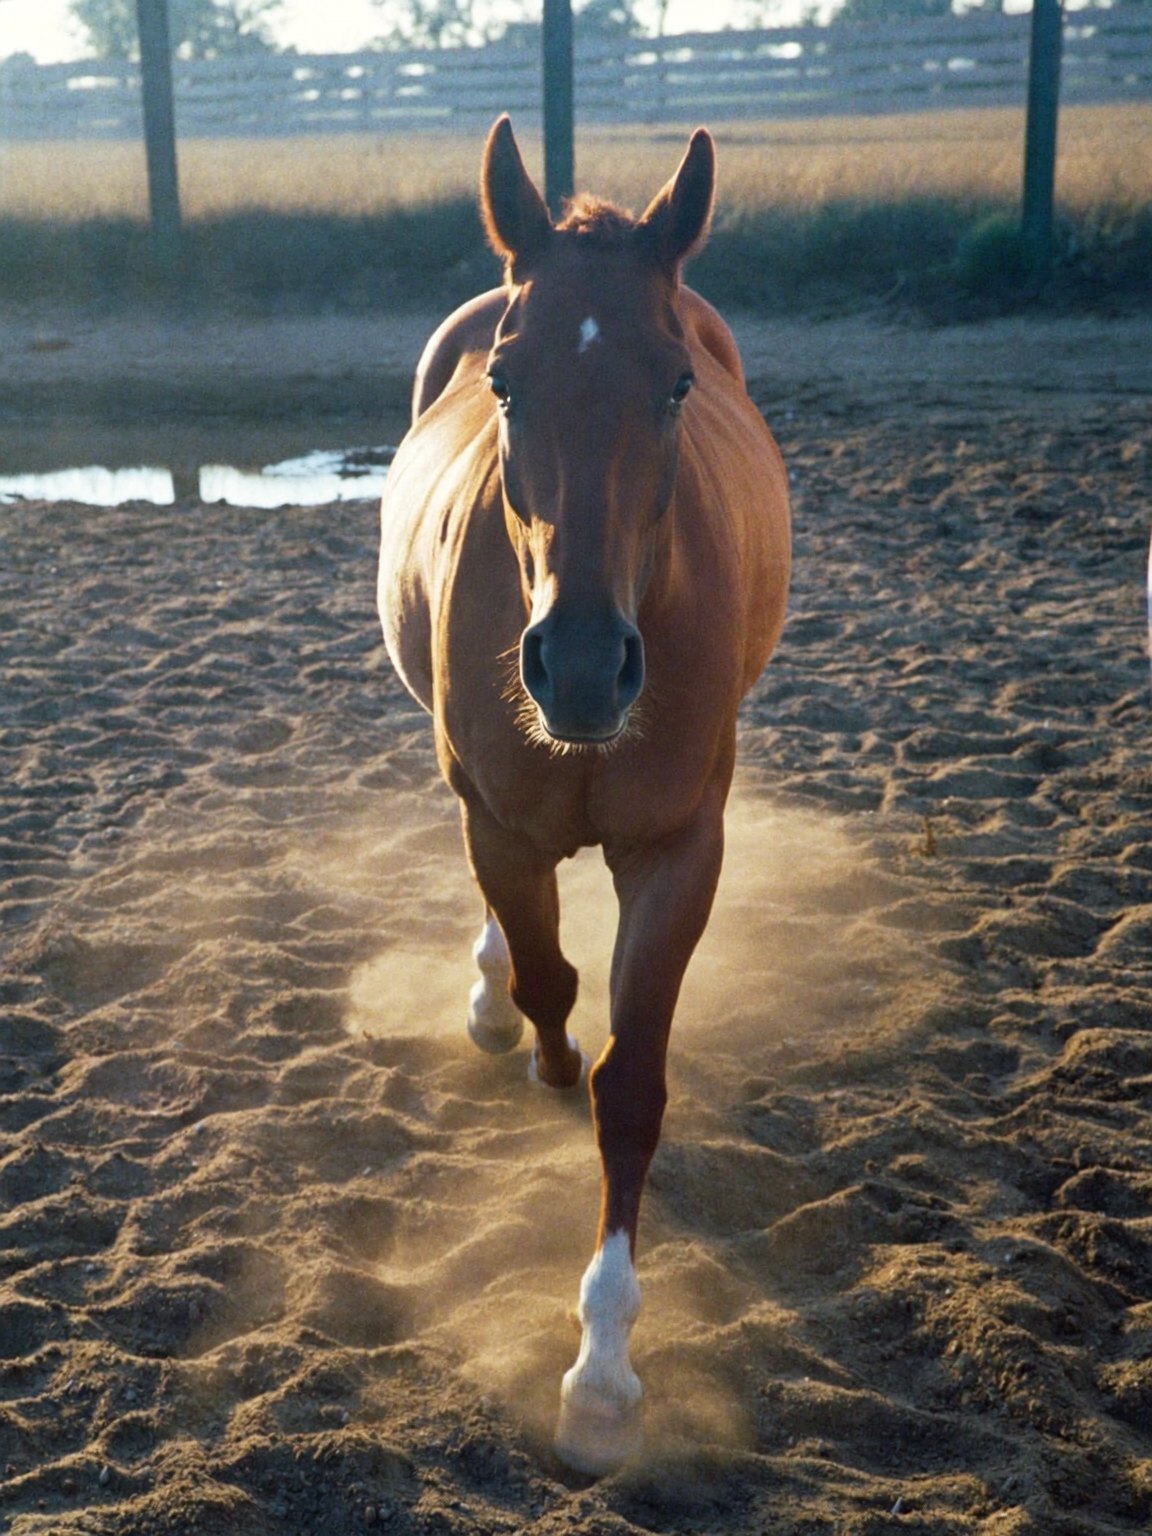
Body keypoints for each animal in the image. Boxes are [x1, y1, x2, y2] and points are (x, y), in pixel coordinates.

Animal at [377, 116, 791, 1475]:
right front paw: (533, 1040)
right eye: (507, 383)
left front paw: (604, 1375)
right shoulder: (499, 825)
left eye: (675, 386)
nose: (580, 666)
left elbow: (633, 1084)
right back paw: (490, 999)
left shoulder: (679, 852)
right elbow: (557, 988)